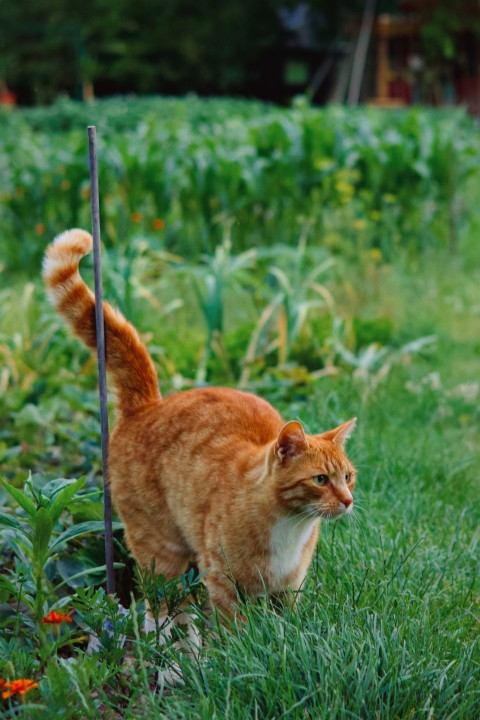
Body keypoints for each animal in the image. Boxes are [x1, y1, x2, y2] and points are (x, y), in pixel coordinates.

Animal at [43, 231, 356, 624]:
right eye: (320, 479)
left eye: (348, 477)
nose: (348, 501)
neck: (289, 526)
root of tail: (150, 404)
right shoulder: (223, 582)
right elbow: (235, 631)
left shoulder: (289, 590)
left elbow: (287, 627)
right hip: (160, 548)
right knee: (163, 607)